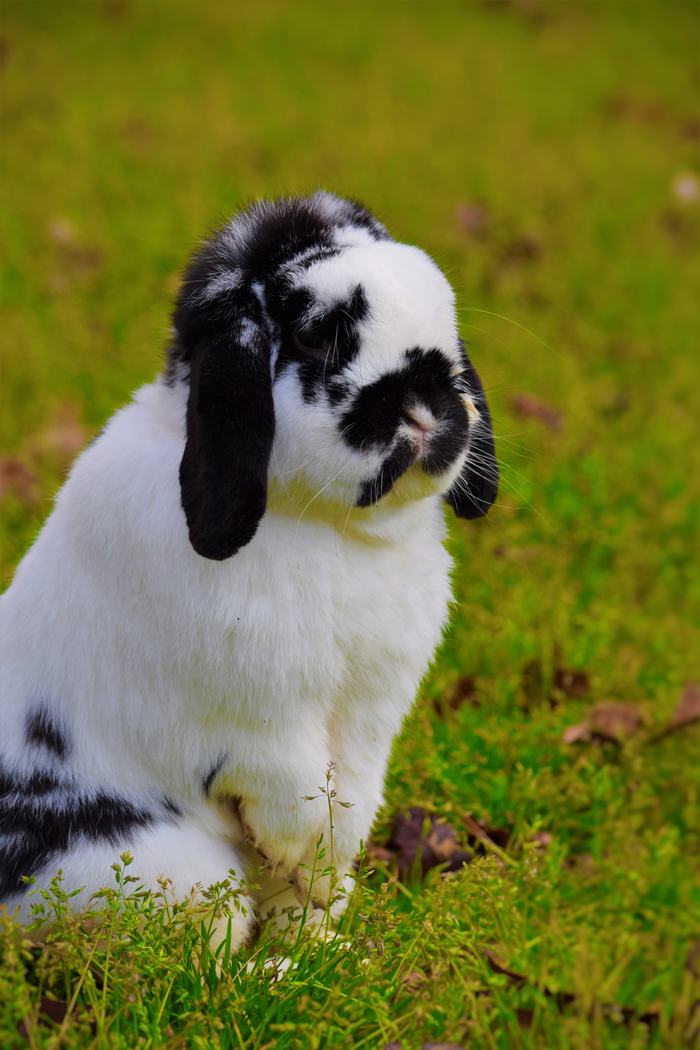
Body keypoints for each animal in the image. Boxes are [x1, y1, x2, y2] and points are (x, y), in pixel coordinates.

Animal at [0, 192, 497, 946]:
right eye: (318, 337)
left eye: (447, 324)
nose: (427, 407)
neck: (327, 528)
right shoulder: (258, 726)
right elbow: (297, 804)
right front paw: (304, 864)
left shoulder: (368, 721)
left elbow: (346, 811)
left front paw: (319, 897)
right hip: (166, 869)